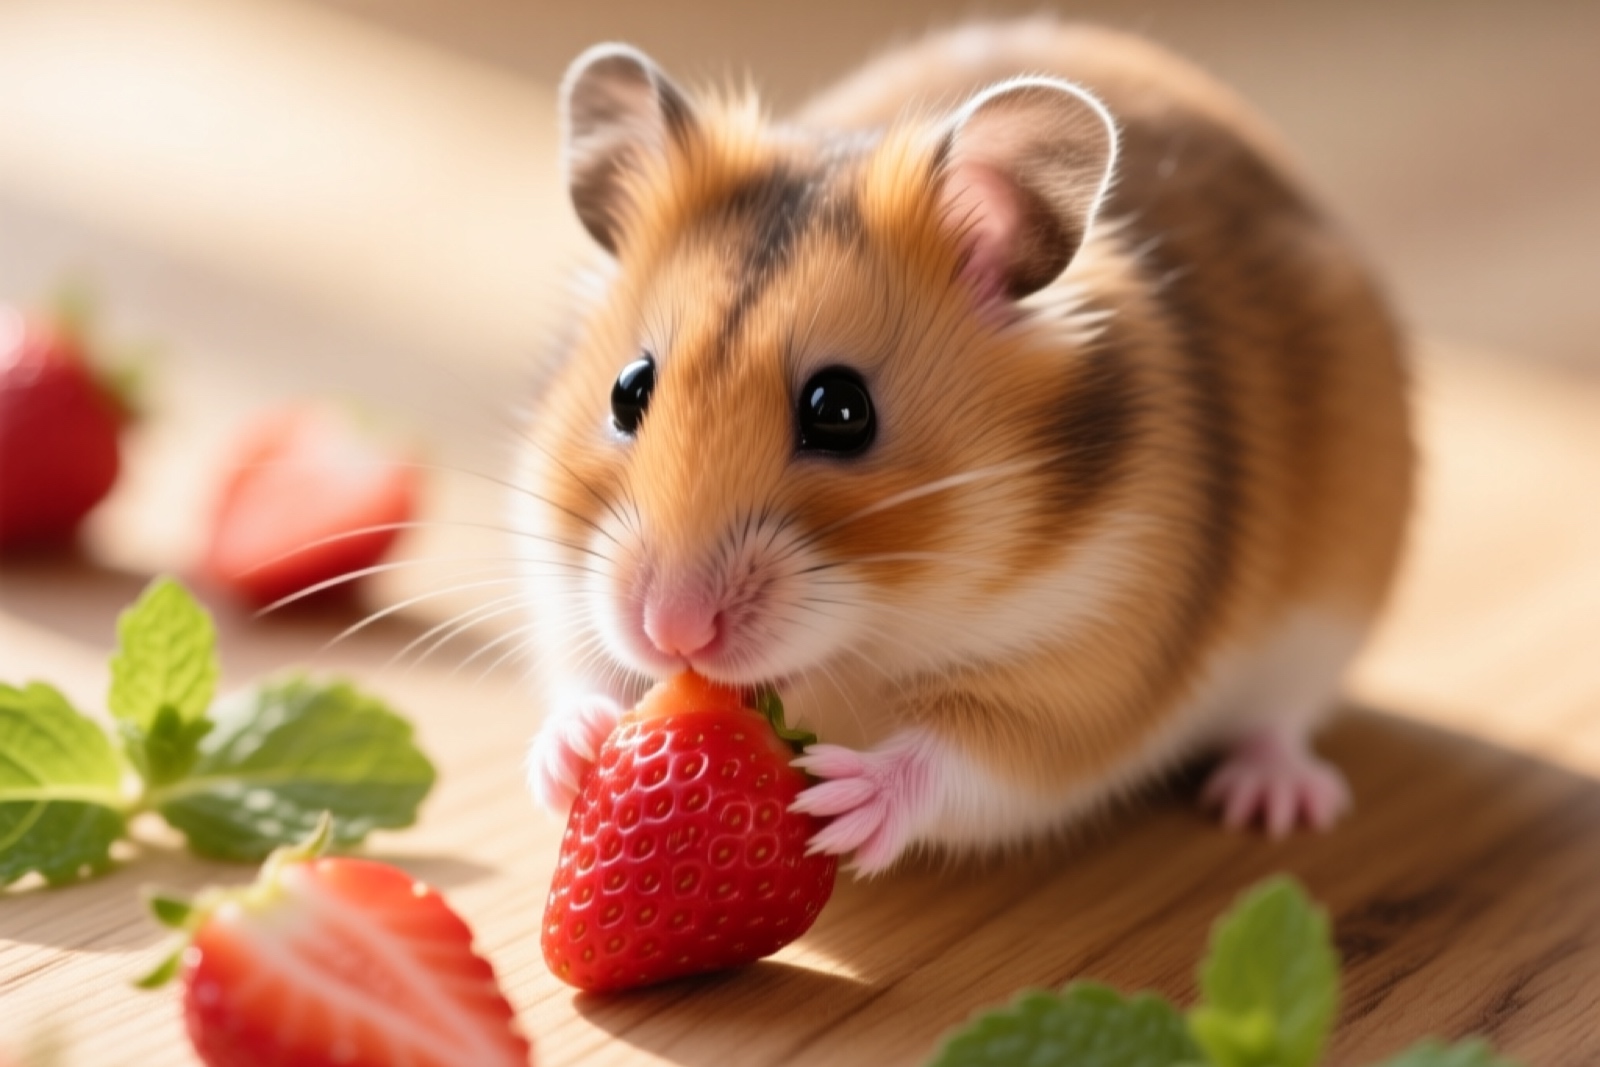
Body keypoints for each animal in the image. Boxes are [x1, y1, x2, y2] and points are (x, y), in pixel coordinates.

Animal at [518, 19, 1413, 875]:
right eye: (628, 389)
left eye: (840, 410)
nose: (672, 633)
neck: (886, 625)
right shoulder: (568, 583)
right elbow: (581, 671)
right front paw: (575, 751)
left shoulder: (1084, 674)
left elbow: (966, 762)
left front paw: (840, 803)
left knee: (1283, 720)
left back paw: (1273, 800)